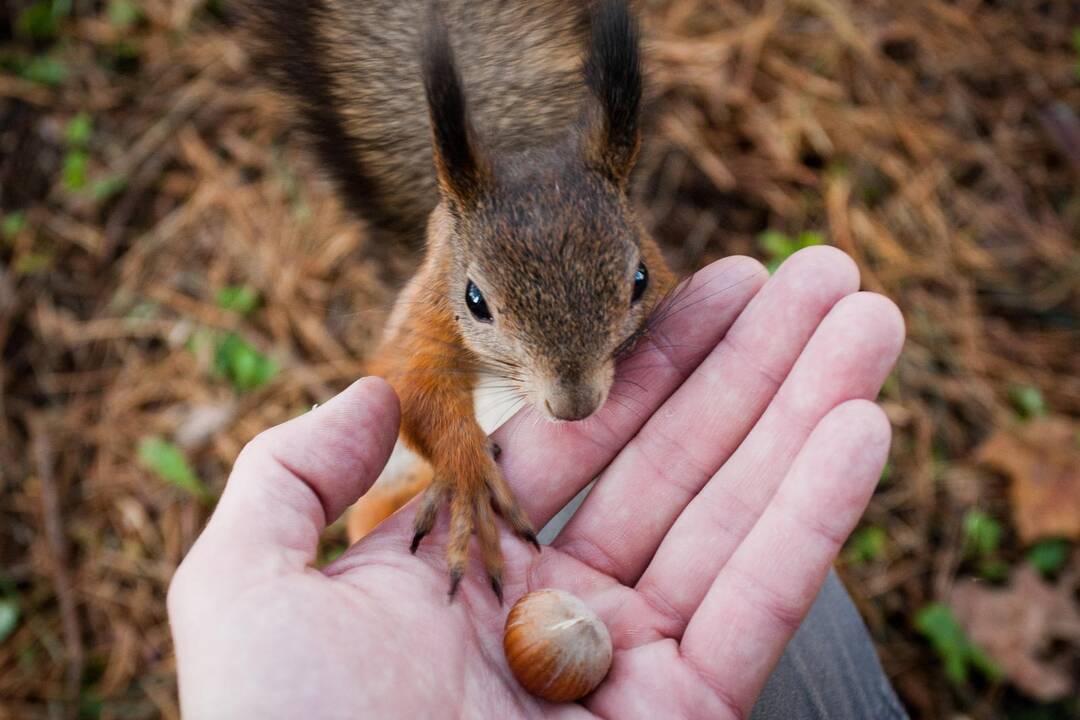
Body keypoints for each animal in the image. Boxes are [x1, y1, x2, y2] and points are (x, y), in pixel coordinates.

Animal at [245, 1, 673, 604]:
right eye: (474, 300)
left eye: (640, 279)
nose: (574, 406)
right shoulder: (422, 322)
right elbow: (415, 386)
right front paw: (468, 474)